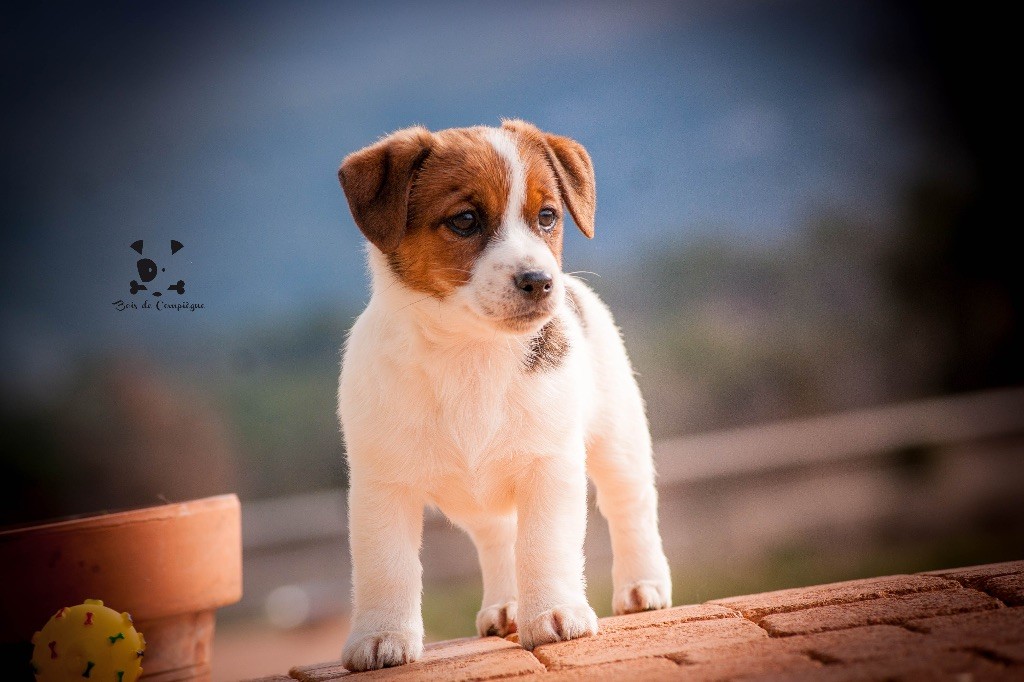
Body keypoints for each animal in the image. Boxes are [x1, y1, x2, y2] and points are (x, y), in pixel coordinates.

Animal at [335, 119, 671, 667]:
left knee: (630, 509)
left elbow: (544, 545)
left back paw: (643, 586)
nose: (540, 281)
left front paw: (555, 612)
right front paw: (381, 636)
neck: (470, 350)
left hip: (619, 441)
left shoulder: (549, 466)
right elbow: (387, 566)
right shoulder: (382, 486)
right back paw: (508, 605)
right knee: (499, 540)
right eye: (466, 220)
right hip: (486, 504)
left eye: (547, 216)